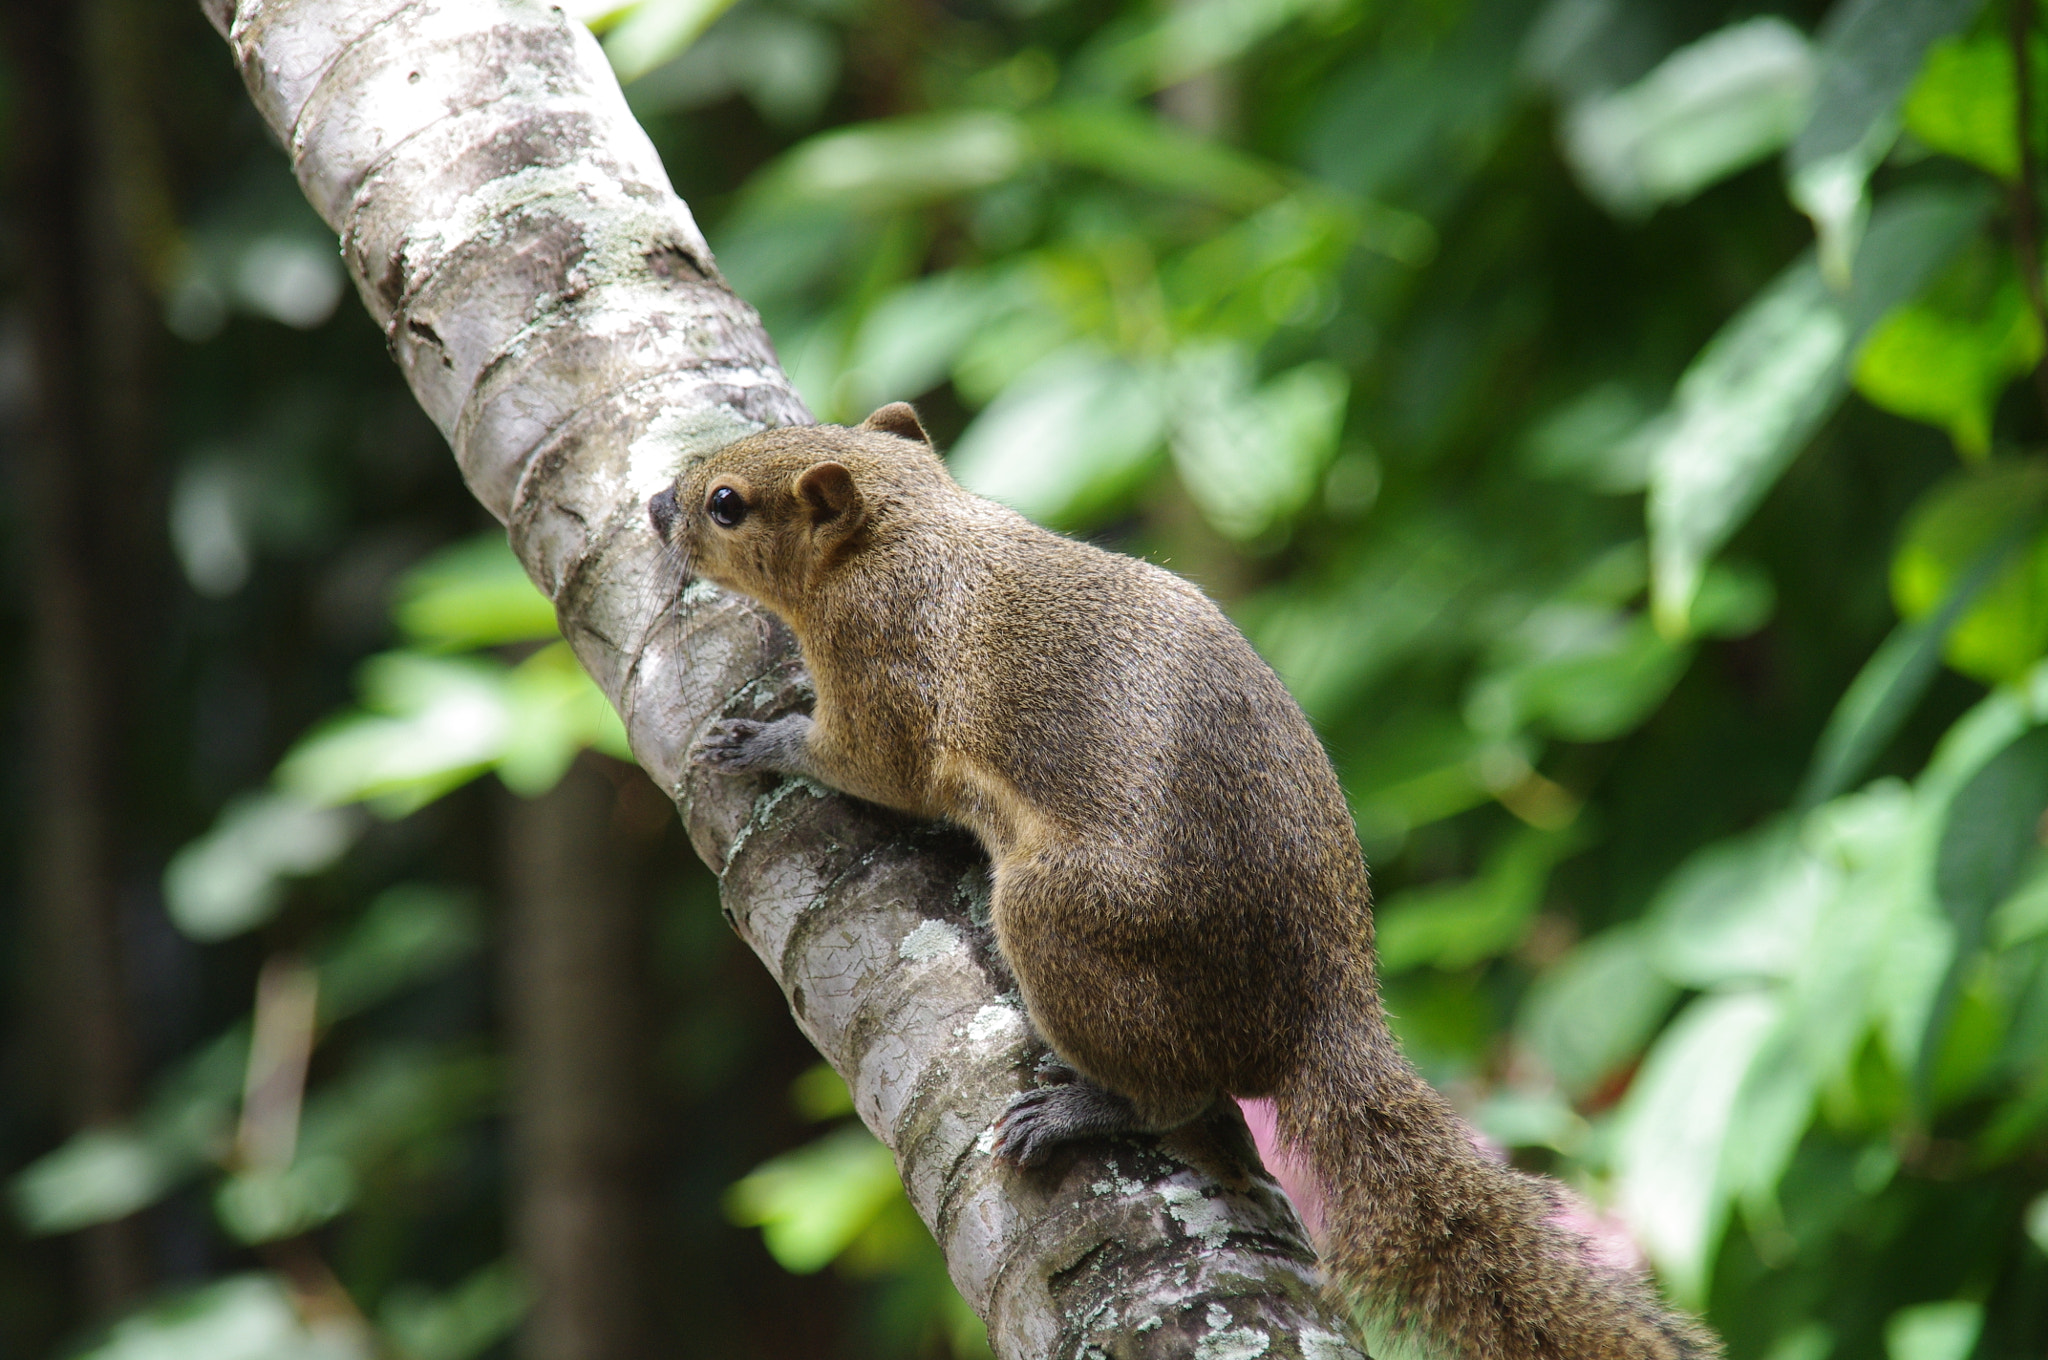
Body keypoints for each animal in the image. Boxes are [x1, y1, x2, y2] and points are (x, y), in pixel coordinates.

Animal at [648, 403, 1719, 1360]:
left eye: (727, 504)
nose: (657, 505)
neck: (907, 532)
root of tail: (1320, 1013)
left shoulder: (886, 672)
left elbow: (867, 764)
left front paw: (764, 738)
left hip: (1060, 917)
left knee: (1178, 1091)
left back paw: (1086, 1109)